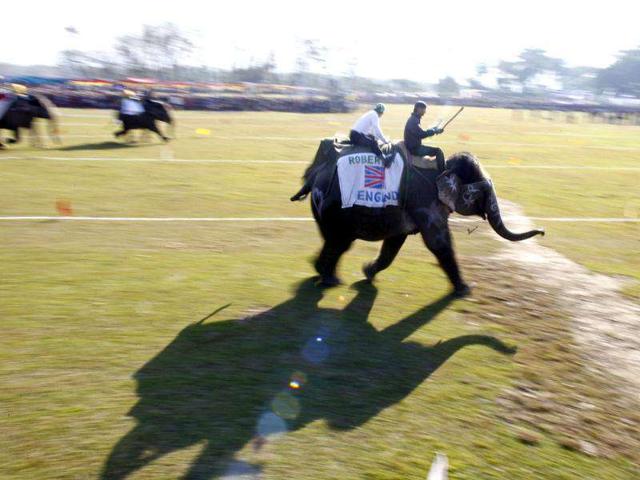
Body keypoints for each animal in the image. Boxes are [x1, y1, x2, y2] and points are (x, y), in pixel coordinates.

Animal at [291, 139, 545, 296]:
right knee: (340, 242)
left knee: (335, 242)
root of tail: (314, 175)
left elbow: (394, 243)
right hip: (335, 207)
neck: (444, 167)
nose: (542, 232)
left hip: (325, 209)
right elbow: (438, 243)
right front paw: (465, 290)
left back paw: (323, 273)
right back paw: (328, 279)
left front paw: (367, 273)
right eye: (484, 192)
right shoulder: (425, 202)